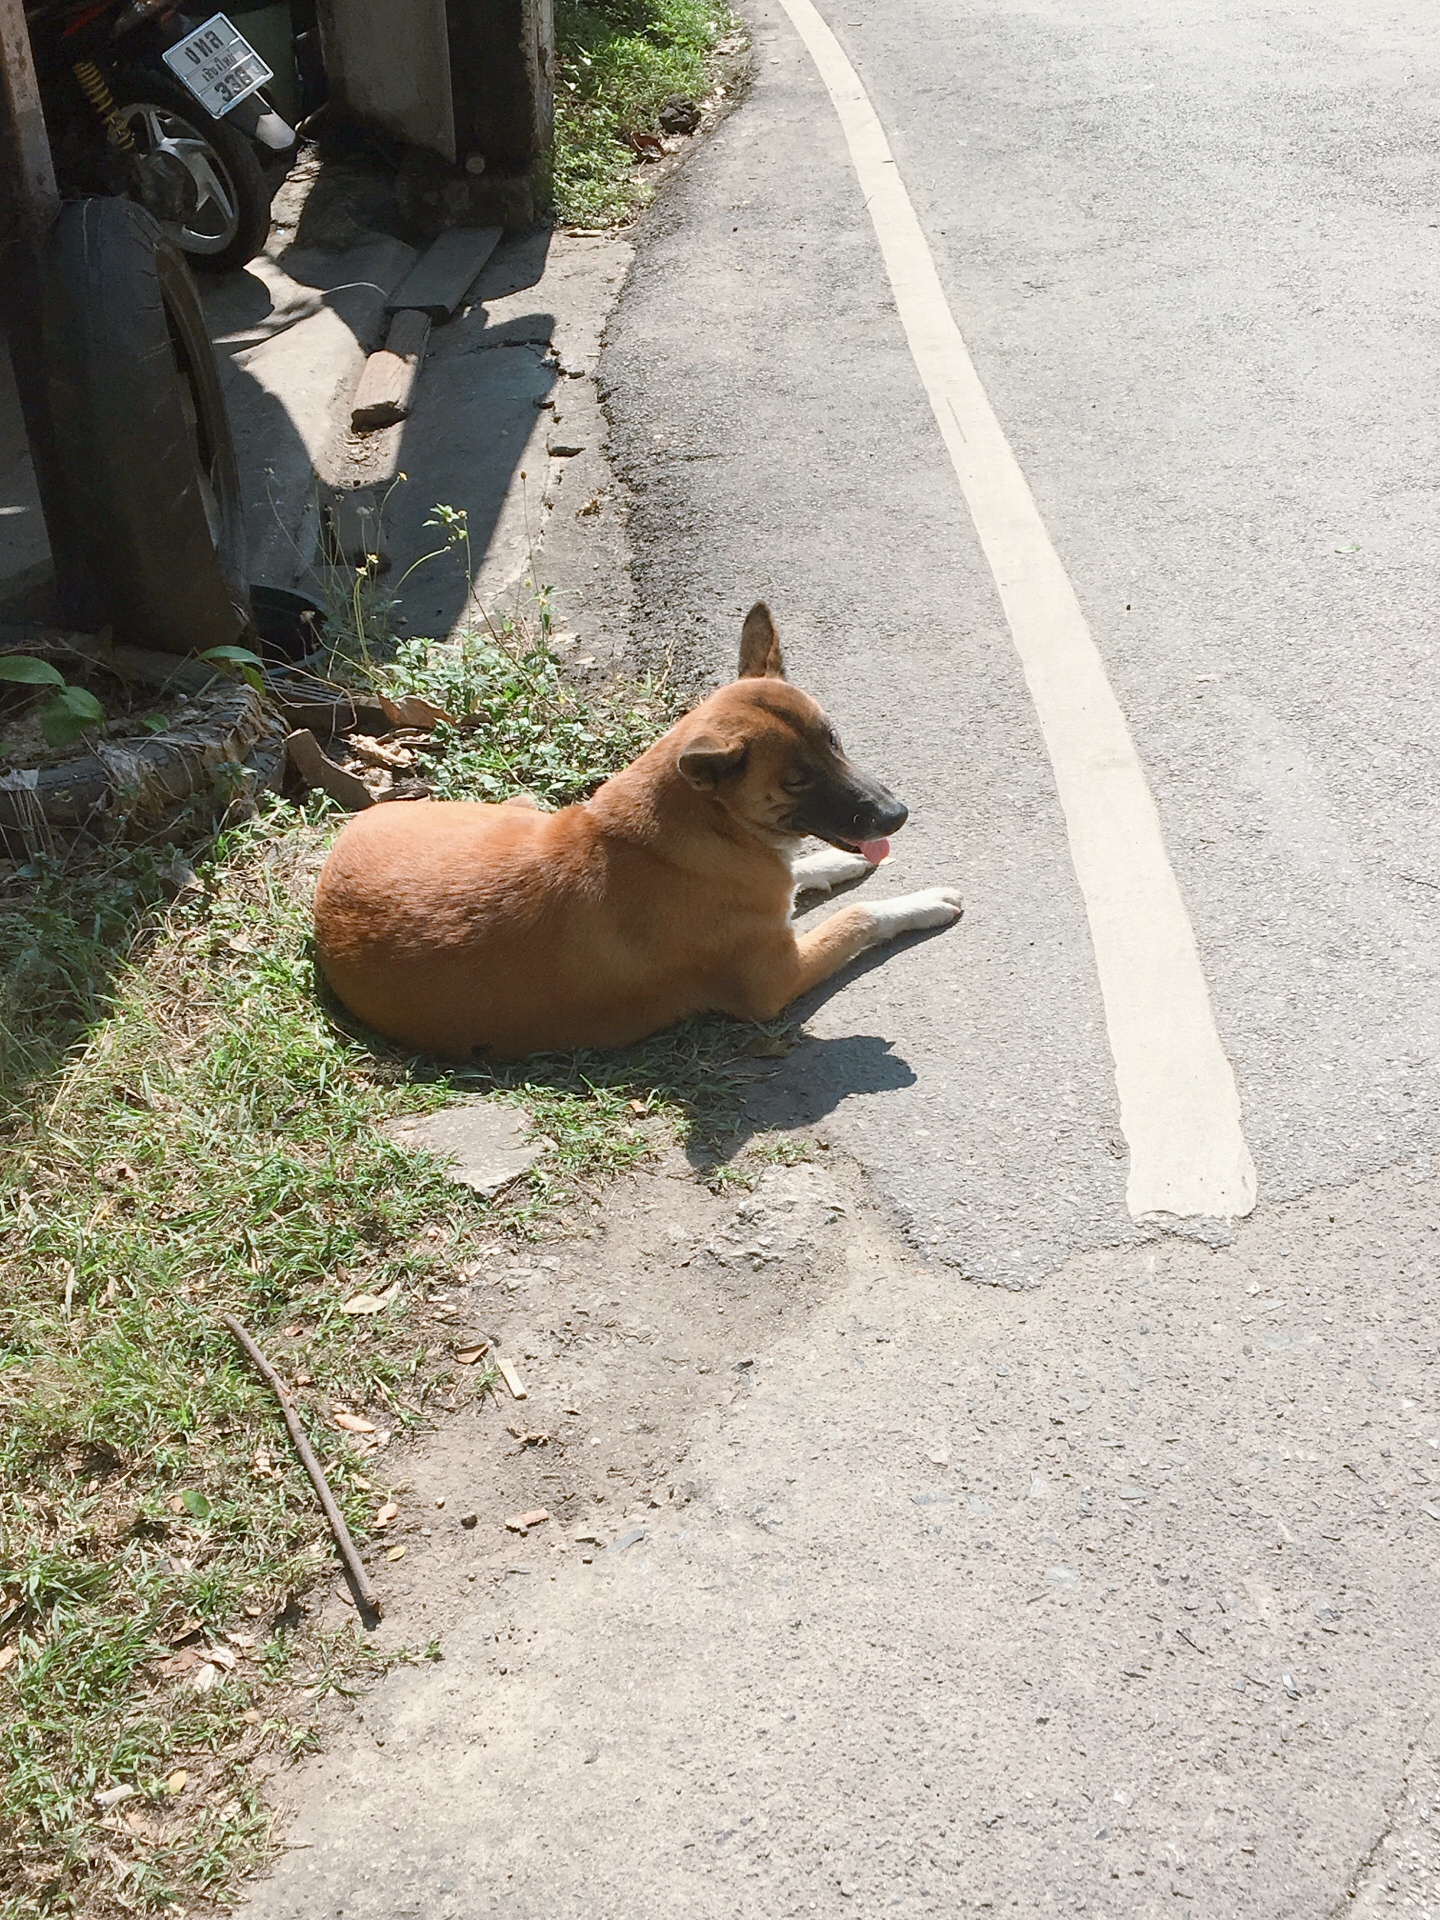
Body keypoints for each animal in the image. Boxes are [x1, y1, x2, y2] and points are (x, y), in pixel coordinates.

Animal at [314, 602, 971, 1067]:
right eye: (796, 781)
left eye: (833, 741)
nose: (896, 815)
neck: (706, 830)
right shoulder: (775, 982)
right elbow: (856, 917)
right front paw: (918, 902)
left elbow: (799, 874)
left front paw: (835, 867)